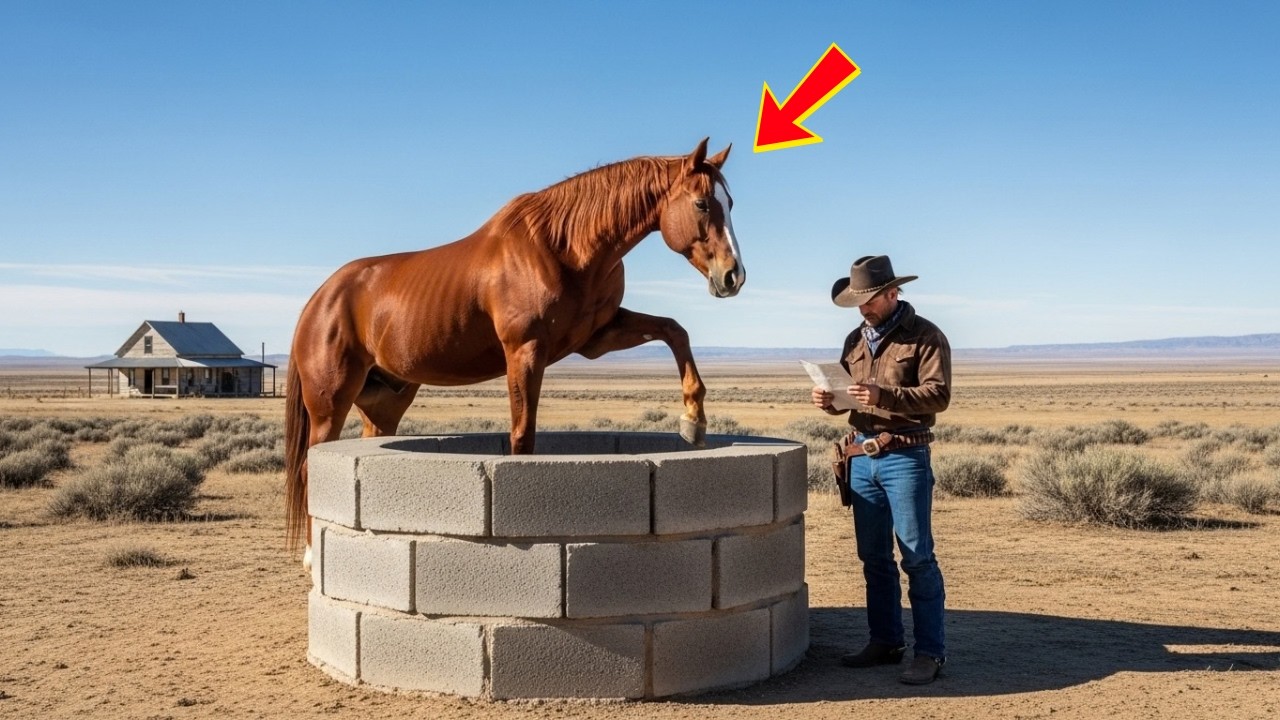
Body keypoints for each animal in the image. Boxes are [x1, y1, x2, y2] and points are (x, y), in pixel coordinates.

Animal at [284, 138, 744, 561]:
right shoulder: (524, 351)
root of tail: (320, 299)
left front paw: (693, 419)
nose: (733, 276)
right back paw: (309, 557)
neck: (562, 248)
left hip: (383, 402)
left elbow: (674, 331)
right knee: (308, 467)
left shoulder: (597, 338)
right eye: (702, 203)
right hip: (329, 404)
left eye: (730, 202)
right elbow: (522, 437)